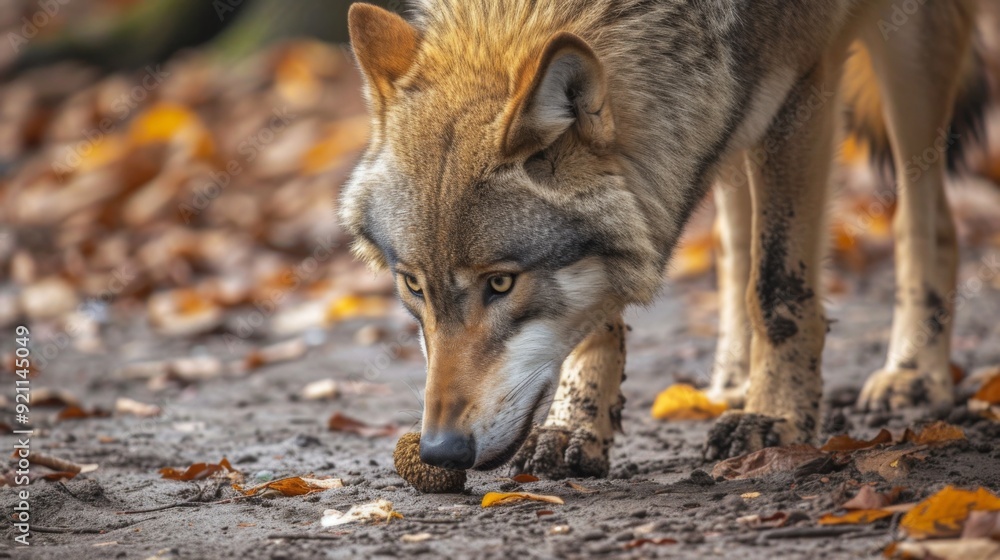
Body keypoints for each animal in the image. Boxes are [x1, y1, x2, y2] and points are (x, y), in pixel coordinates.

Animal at [341, 0, 988, 477]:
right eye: (413, 286)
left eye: (501, 283)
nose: (440, 451)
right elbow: (599, 312)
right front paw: (575, 425)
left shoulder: (802, 86)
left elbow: (777, 286)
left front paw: (777, 419)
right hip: (731, 118)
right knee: (733, 242)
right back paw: (733, 384)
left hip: (909, 51)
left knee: (926, 218)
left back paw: (912, 374)